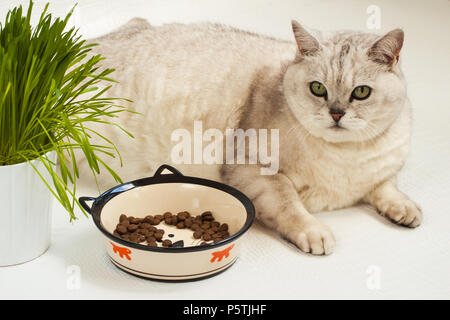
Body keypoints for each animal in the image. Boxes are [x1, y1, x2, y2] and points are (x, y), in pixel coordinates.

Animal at [80, 18, 422, 255]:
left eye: (361, 92)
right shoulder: (253, 170)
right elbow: (290, 205)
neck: (347, 156)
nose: (336, 114)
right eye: (318, 88)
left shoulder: (383, 172)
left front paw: (406, 209)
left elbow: (387, 188)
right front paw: (314, 232)